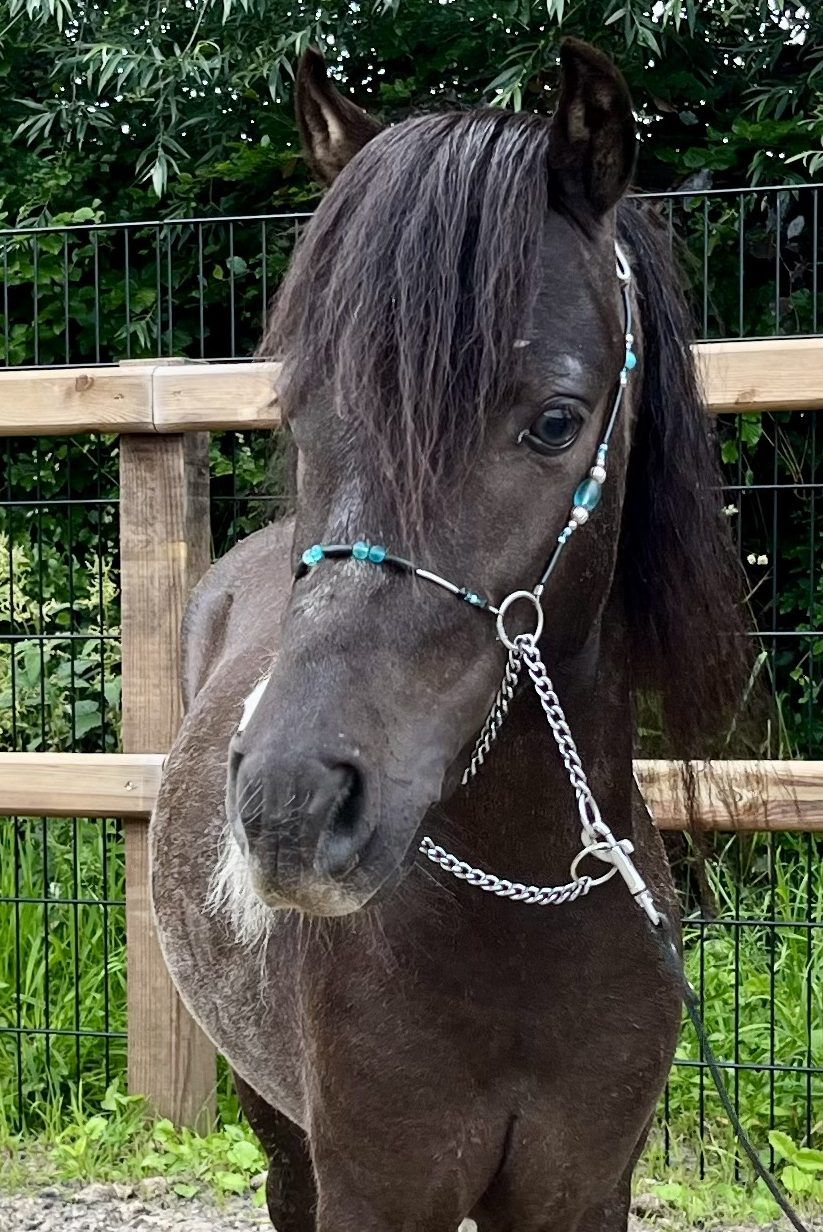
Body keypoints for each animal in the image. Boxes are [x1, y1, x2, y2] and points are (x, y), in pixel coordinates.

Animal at [151, 38, 750, 1232]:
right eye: (301, 413)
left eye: (556, 421)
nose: (289, 805)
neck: (520, 913)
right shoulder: (373, 1186)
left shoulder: (581, 1188)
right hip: (273, 1122)